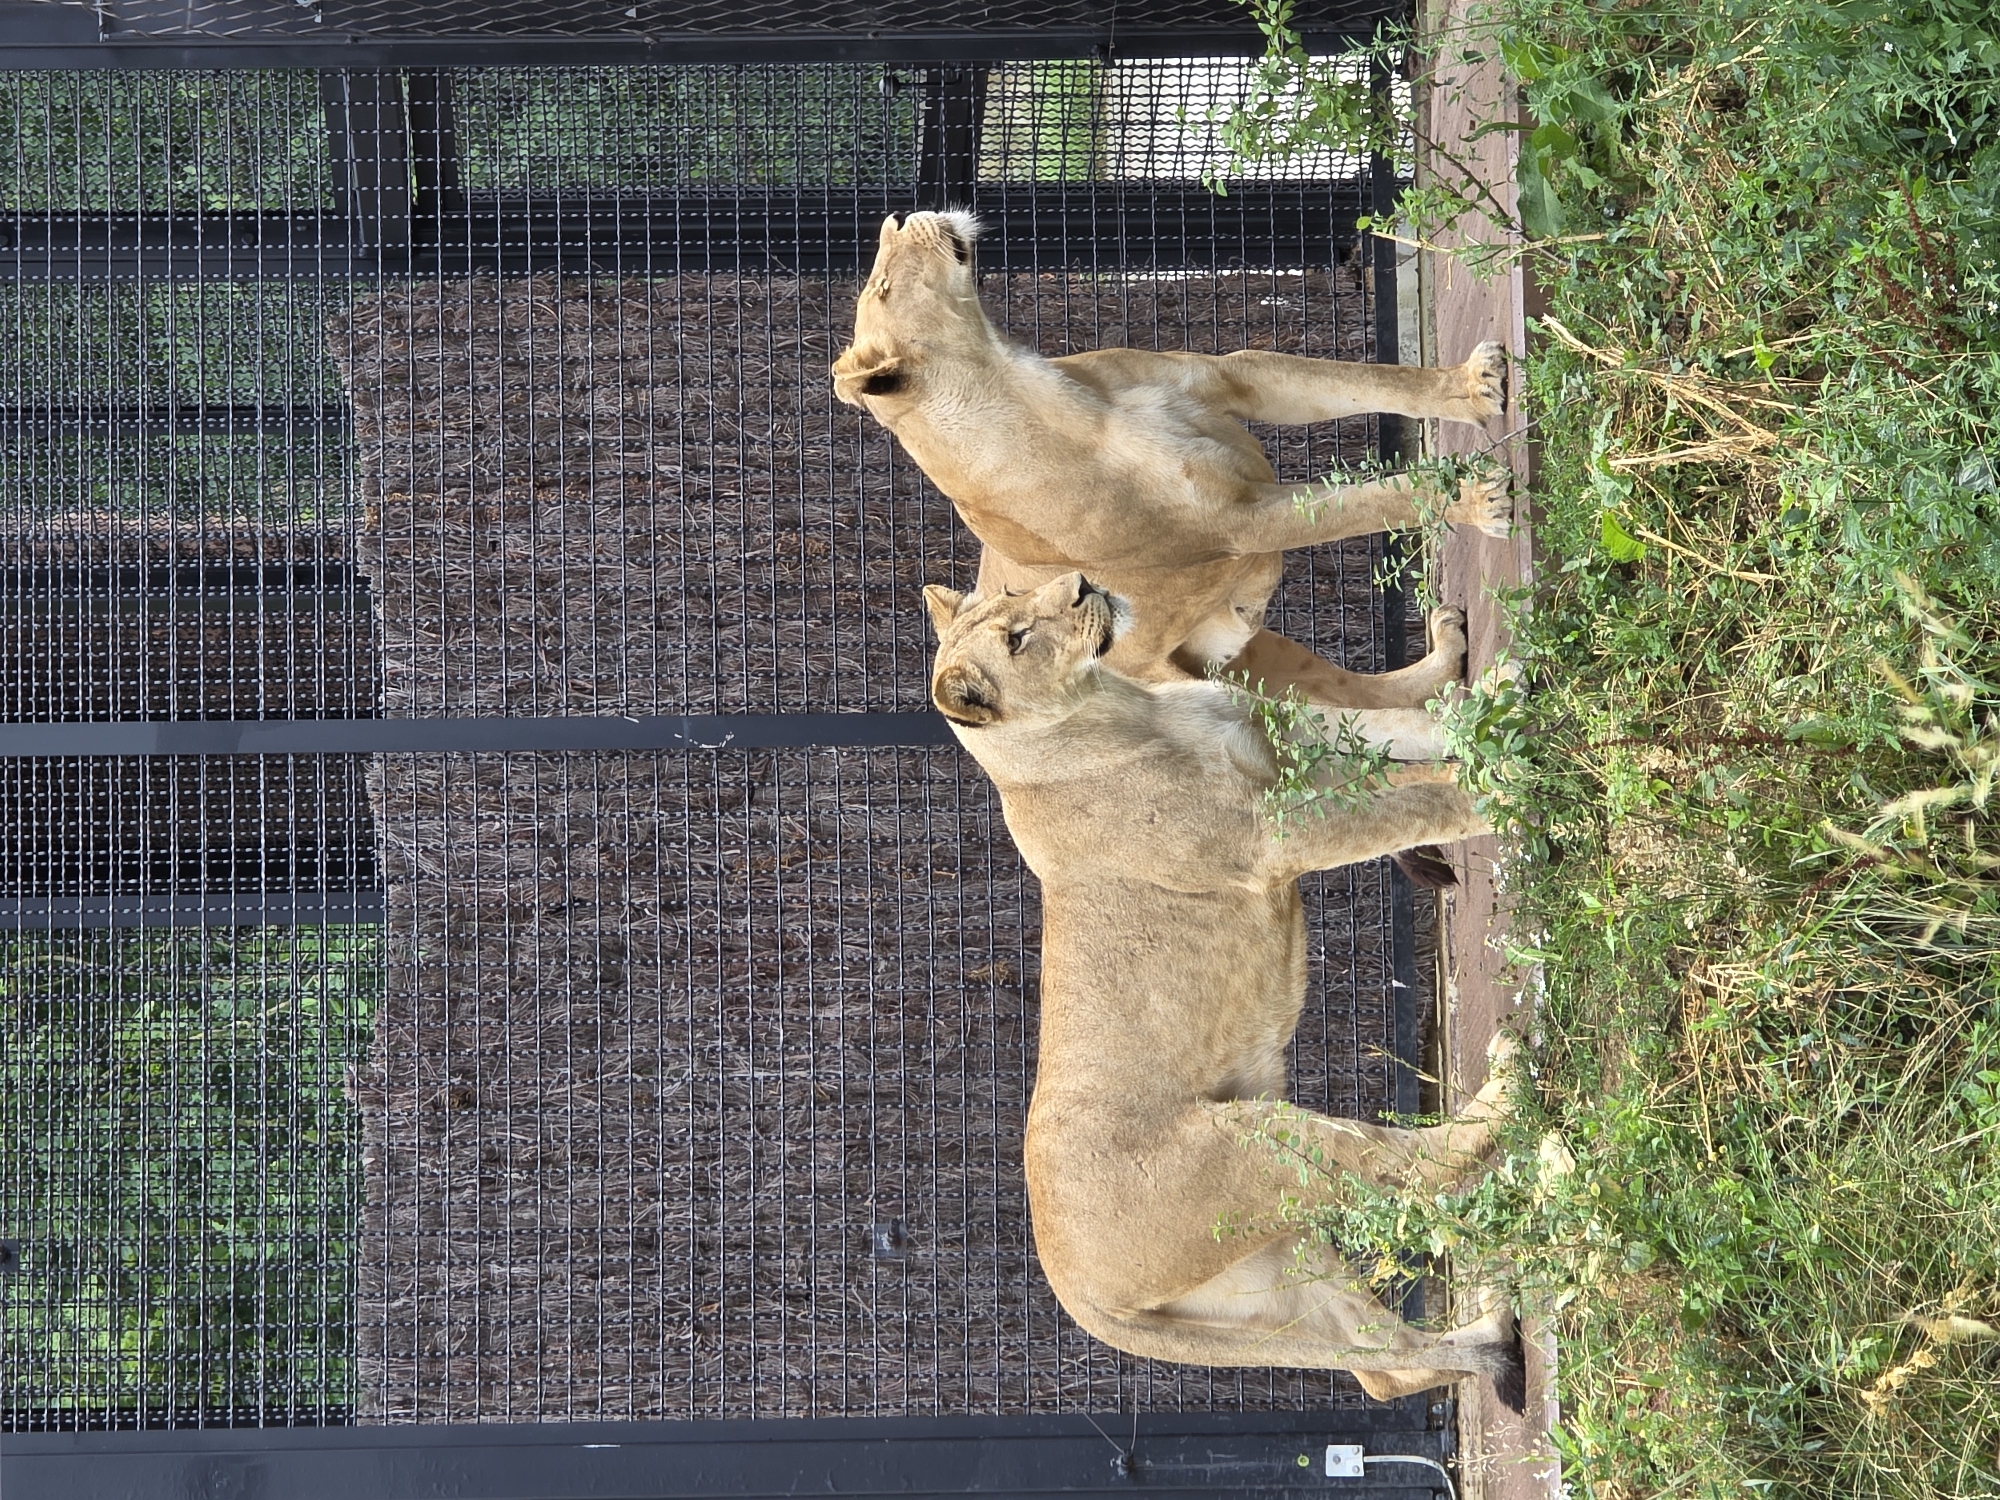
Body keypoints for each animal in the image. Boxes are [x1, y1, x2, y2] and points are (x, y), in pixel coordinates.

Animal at [835, 209, 1513, 707]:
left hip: (1262, 654)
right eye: (883, 287)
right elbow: (1375, 502)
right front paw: (1480, 499)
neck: (1023, 390)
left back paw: (1450, 653)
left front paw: (1473, 385)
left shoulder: (1231, 379)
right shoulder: (1239, 524)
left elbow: (1367, 381)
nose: (894, 217)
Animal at [923, 571, 1527, 1407]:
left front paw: (1490, 694)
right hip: (1251, 1145)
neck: (1116, 705)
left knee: (1386, 1367)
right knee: (1410, 1169)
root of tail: (1080, 1297)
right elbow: (1413, 799)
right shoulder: (1269, 834)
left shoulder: (1281, 736)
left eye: (1019, 599)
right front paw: (1501, 770)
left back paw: (1492, 1325)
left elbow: (1404, 727)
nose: (1080, 583)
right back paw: (1511, 1083)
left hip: (1266, 1268)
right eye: (1016, 638)